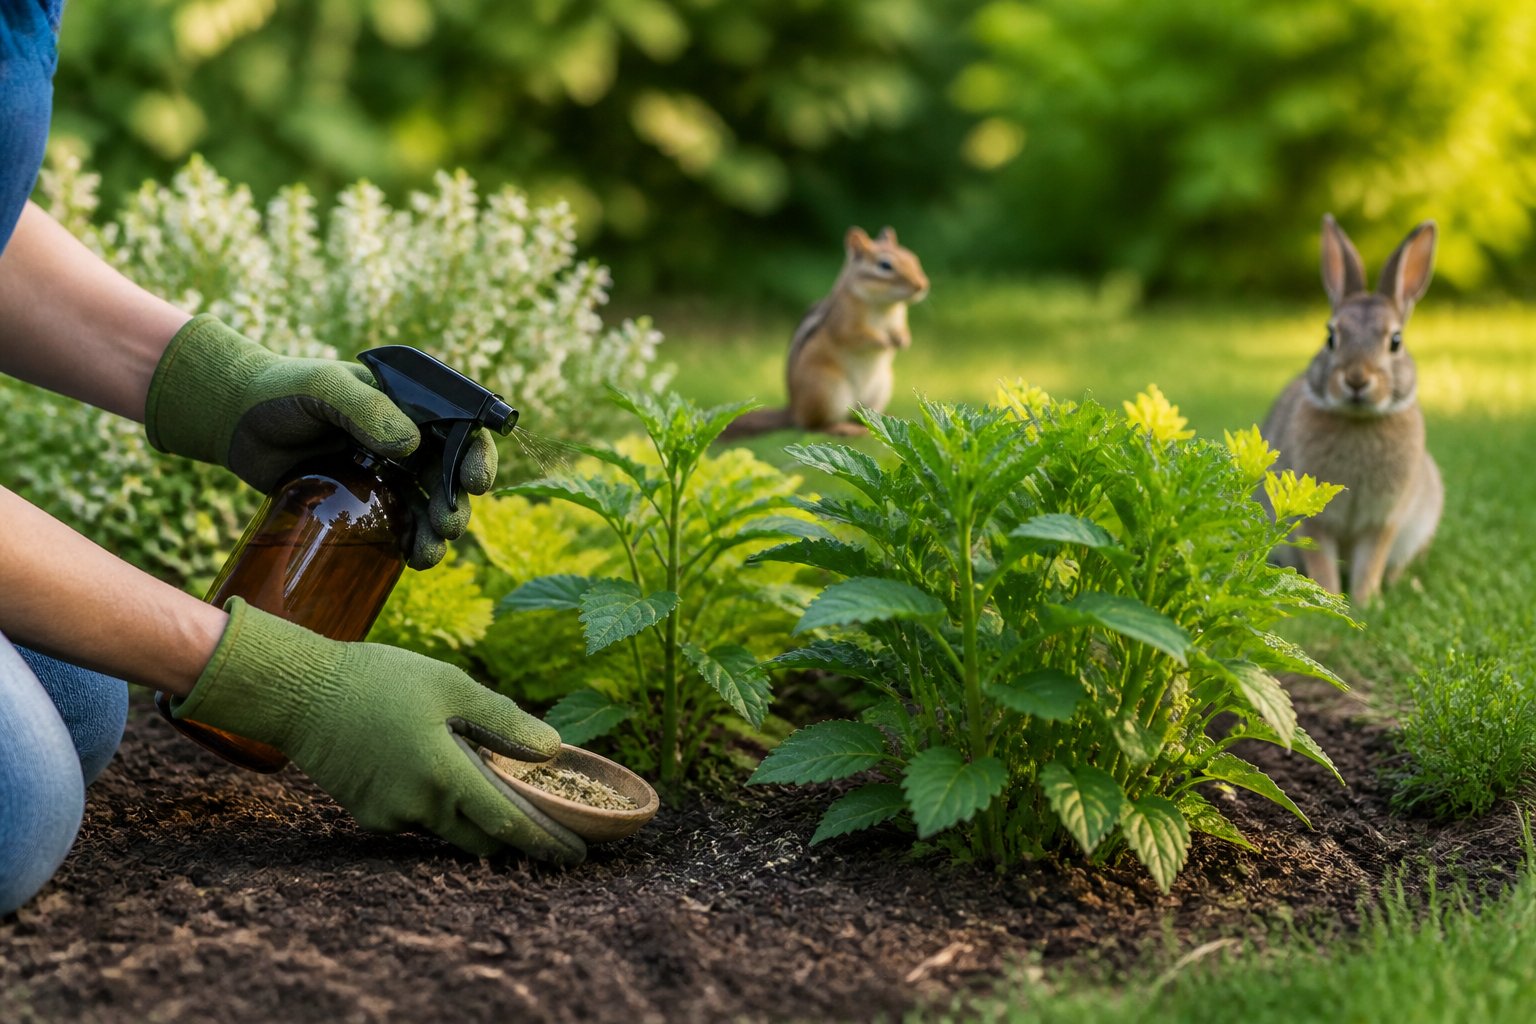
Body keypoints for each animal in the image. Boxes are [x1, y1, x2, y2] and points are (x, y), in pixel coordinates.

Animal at [721, 226, 929, 438]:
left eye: (913, 258)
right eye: (885, 265)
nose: (921, 285)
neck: (884, 306)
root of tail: (794, 409)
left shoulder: (898, 319)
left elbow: (901, 330)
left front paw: (903, 340)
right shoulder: (844, 322)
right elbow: (854, 336)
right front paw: (883, 341)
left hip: (880, 389)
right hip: (827, 390)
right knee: (814, 426)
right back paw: (842, 428)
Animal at [1260, 214, 1444, 604]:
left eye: (1395, 341)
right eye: (1330, 337)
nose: (1357, 379)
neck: (1359, 421)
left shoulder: (1384, 520)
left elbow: (1370, 562)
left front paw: (1365, 602)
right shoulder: (1314, 519)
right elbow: (1322, 561)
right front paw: (1330, 597)